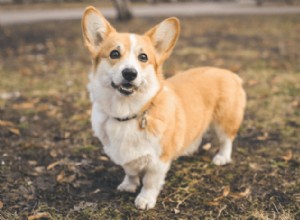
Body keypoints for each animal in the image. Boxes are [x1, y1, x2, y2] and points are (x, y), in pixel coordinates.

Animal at [81, 6, 246, 210]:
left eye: (143, 57)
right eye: (114, 54)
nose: (130, 73)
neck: (127, 112)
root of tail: (230, 73)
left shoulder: (158, 161)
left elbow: (150, 182)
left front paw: (145, 200)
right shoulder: (126, 156)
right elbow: (130, 171)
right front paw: (128, 185)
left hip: (224, 121)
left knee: (226, 140)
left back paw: (222, 157)